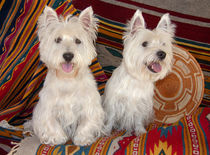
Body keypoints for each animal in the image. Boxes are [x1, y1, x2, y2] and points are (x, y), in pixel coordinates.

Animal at [32, 6, 104, 146]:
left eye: (78, 41)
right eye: (57, 40)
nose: (68, 56)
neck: (68, 78)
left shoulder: (90, 105)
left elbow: (86, 123)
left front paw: (82, 139)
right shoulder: (48, 107)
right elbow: (51, 123)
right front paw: (57, 138)